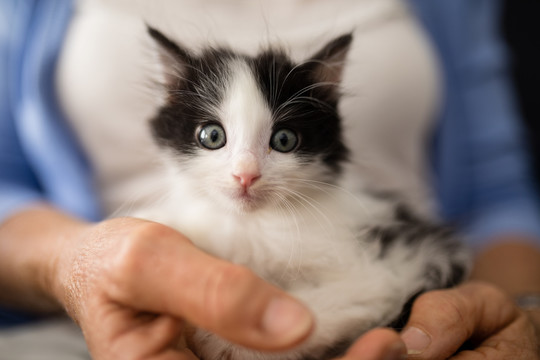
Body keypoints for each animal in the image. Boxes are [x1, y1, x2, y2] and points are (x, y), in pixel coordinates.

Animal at [137, 26, 470, 360]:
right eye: (212, 136)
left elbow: (315, 310)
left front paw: (229, 342)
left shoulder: (390, 269)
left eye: (284, 140)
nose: (246, 175)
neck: (253, 225)